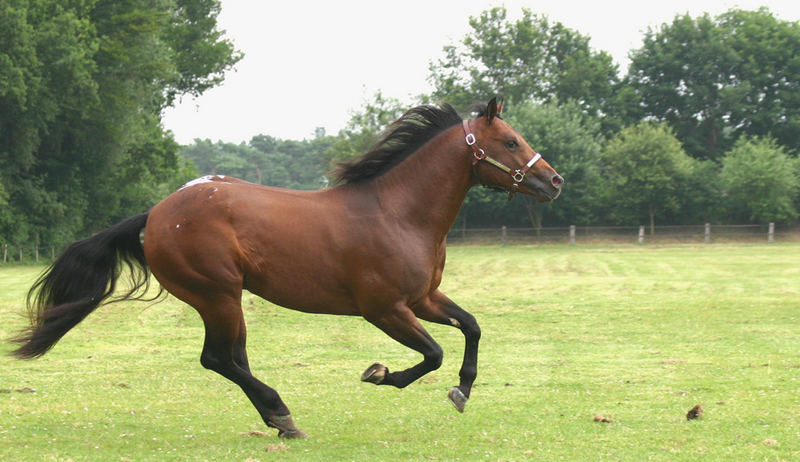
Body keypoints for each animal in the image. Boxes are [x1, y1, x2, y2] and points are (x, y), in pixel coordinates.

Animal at [12, 97, 564, 436]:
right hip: (217, 295)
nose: (554, 181)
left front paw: (462, 391)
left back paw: (279, 418)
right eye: (510, 141)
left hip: (227, 300)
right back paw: (281, 412)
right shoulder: (385, 309)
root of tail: (157, 213)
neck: (396, 212)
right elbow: (431, 354)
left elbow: (471, 327)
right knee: (217, 359)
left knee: (233, 359)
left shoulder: (423, 299)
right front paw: (380, 374)